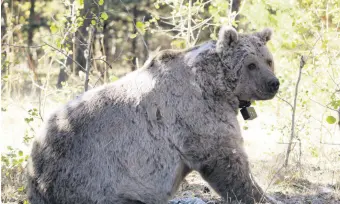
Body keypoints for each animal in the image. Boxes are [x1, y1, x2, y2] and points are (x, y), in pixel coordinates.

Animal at [27, 25, 280, 204]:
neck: (217, 85)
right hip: (89, 179)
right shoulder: (195, 114)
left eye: (268, 60)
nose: (273, 83)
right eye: (250, 64)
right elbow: (227, 161)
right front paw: (263, 196)